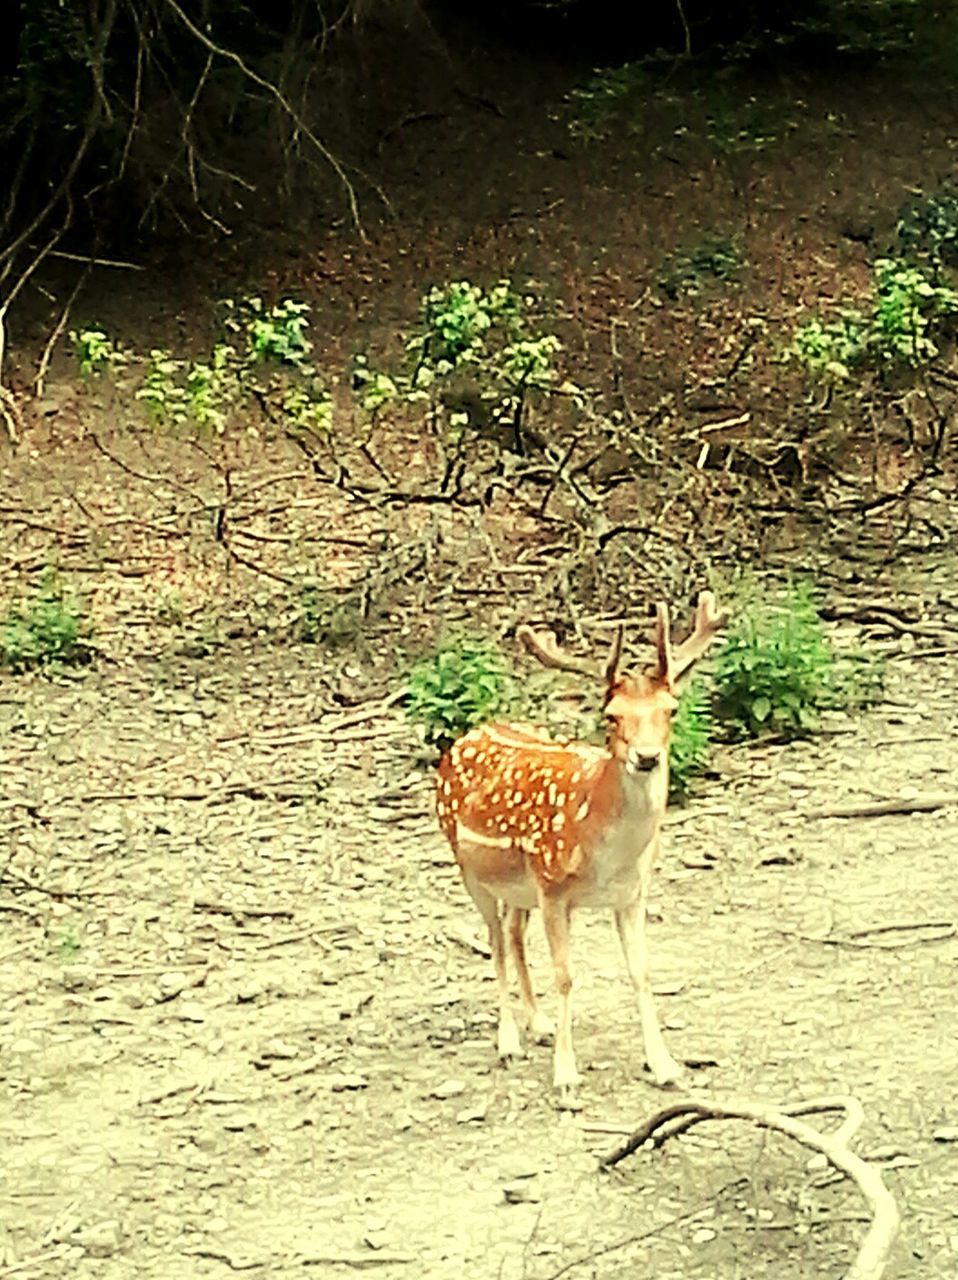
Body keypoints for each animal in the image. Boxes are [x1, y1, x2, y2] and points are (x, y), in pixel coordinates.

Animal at [435, 588, 727, 1100]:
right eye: (612, 716)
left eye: (671, 709)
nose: (646, 757)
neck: (607, 854)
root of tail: (462, 739)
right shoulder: (554, 888)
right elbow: (566, 976)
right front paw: (566, 1076)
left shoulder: (632, 894)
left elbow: (641, 972)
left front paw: (666, 1065)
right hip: (470, 868)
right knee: (494, 940)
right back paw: (508, 1041)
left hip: (520, 886)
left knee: (512, 932)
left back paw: (538, 1024)